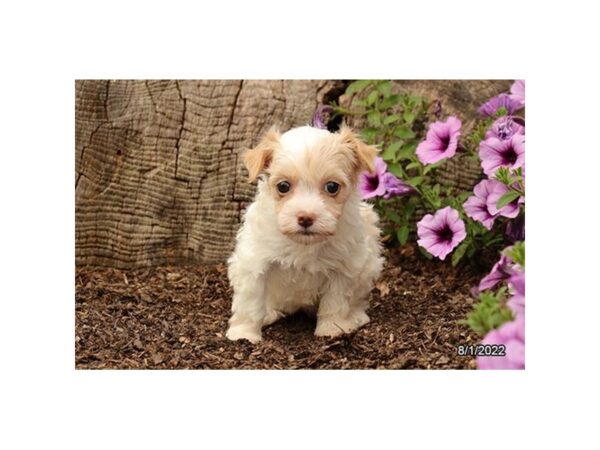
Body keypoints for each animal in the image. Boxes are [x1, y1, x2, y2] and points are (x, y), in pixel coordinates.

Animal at [225, 125, 384, 342]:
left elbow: (336, 302)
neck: (303, 243)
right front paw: (244, 335)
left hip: (369, 261)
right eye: (283, 186)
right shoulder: (254, 263)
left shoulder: (344, 267)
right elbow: (250, 302)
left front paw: (331, 330)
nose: (306, 218)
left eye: (332, 187)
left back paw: (356, 316)